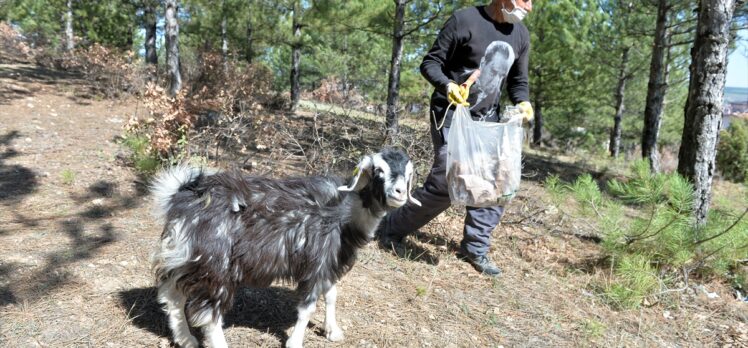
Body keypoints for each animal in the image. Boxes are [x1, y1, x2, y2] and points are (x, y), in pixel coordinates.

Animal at [149, 149, 418, 348]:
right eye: (378, 170)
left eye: (408, 174)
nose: (399, 193)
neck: (344, 212)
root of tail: (182, 197)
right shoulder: (317, 262)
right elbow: (307, 307)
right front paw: (295, 342)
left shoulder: (330, 262)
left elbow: (332, 295)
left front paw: (332, 331)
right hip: (216, 267)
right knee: (209, 315)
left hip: (184, 258)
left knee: (171, 296)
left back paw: (185, 339)